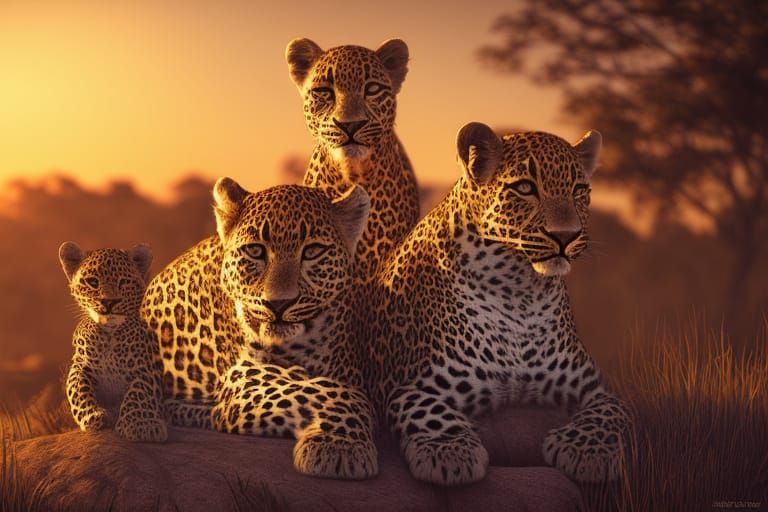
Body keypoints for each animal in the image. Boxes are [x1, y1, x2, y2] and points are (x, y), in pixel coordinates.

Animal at [59, 242, 167, 442]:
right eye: (93, 282)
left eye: (123, 282)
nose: (109, 302)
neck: (109, 335)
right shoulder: (80, 364)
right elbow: (77, 388)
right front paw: (93, 415)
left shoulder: (146, 369)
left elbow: (138, 391)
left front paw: (140, 424)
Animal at [140, 179, 378, 479]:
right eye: (255, 251)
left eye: (312, 251)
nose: (279, 303)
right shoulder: (242, 375)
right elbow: (332, 392)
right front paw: (341, 448)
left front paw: (339, 445)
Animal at [364, 122, 633, 485]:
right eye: (525, 187)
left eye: (579, 190)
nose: (567, 236)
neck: (519, 294)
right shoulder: (406, 385)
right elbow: (429, 411)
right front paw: (449, 451)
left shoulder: (594, 386)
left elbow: (614, 410)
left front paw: (586, 451)